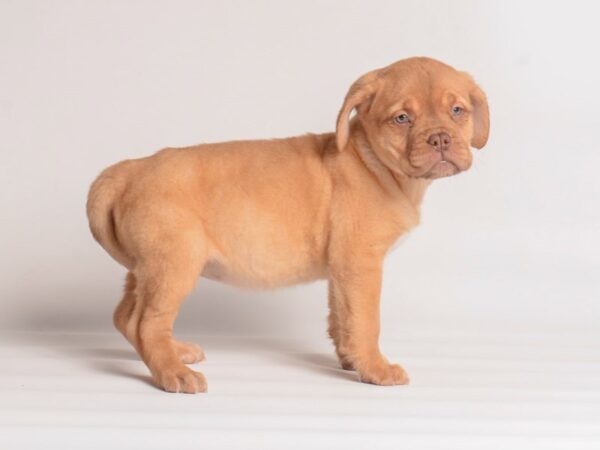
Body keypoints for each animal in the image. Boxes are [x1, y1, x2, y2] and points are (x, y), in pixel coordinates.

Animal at [86, 57, 488, 394]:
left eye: (457, 111)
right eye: (402, 118)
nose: (440, 138)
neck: (374, 164)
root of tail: (128, 170)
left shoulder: (342, 271)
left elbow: (342, 318)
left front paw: (351, 360)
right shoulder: (360, 264)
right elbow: (366, 321)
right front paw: (375, 368)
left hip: (146, 268)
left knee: (125, 317)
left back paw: (174, 352)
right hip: (174, 265)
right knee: (146, 323)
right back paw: (173, 373)